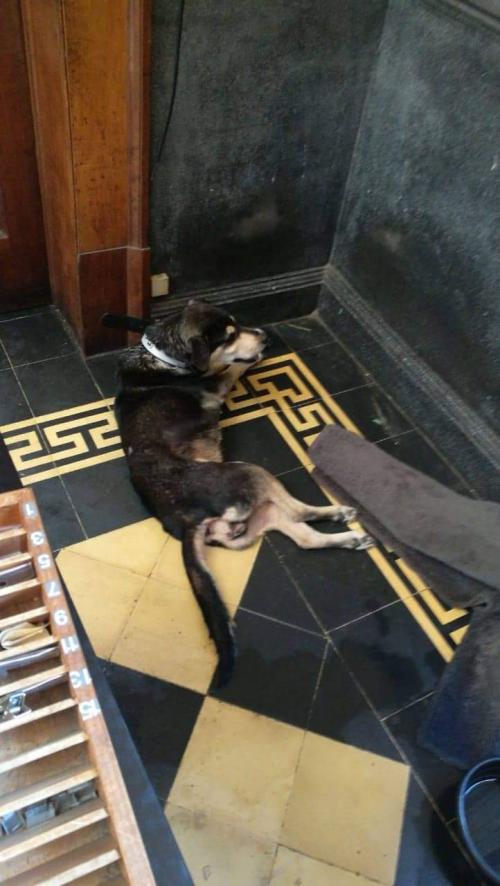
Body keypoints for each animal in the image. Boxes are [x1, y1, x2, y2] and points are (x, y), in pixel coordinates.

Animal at [108, 300, 373, 685]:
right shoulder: (217, 382)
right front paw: (255, 356)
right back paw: (340, 513)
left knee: (305, 538)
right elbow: (233, 367)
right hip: (250, 471)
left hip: (259, 513)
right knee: (299, 513)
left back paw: (349, 536)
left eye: (236, 325)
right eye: (229, 335)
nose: (265, 334)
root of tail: (184, 520)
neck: (164, 355)